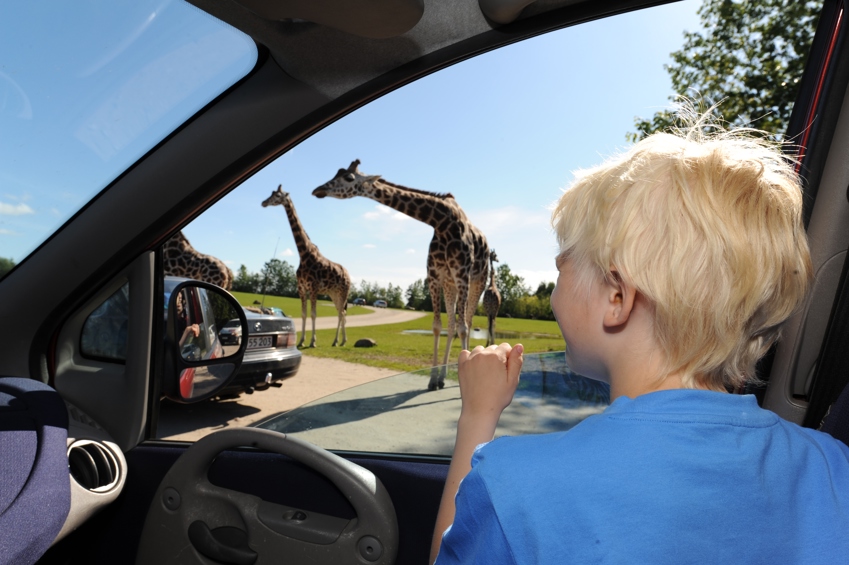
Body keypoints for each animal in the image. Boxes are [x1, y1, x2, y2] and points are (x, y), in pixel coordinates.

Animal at [260, 185, 350, 346]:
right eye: (272, 193)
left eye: (277, 195)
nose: (263, 202)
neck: (303, 254)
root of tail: (349, 275)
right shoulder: (301, 289)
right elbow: (303, 314)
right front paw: (301, 341)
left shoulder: (313, 289)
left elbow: (313, 314)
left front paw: (313, 342)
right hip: (334, 294)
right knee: (342, 313)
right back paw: (341, 341)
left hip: (343, 292)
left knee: (341, 313)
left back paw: (337, 341)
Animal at [314, 159, 490, 388]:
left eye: (349, 178)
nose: (318, 190)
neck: (441, 222)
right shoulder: (434, 276)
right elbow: (437, 326)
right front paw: (433, 379)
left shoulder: (462, 274)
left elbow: (464, 328)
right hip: (450, 284)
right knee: (452, 325)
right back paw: (443, 377)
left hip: (477, 281)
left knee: (467, 322)